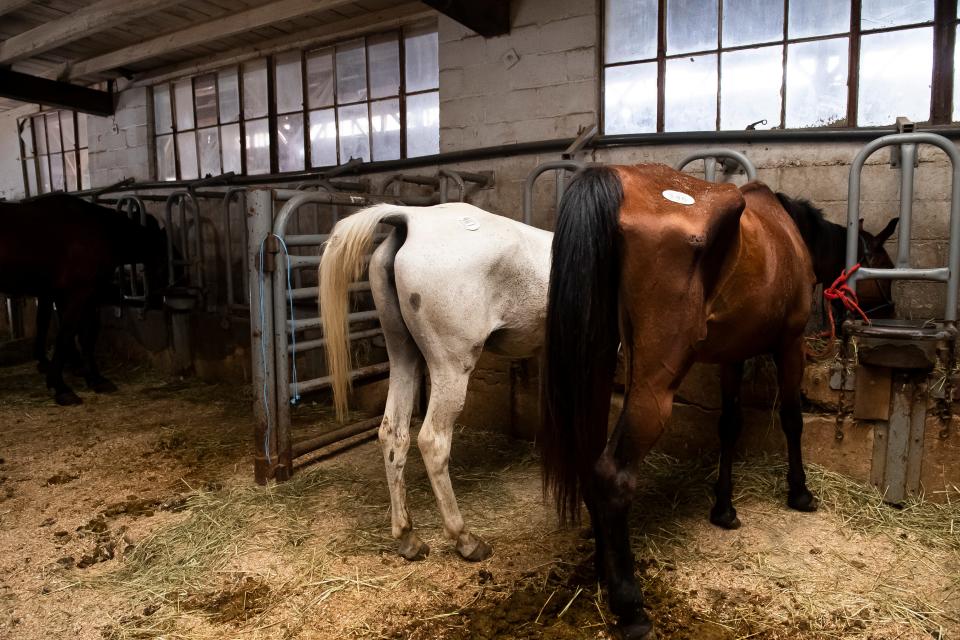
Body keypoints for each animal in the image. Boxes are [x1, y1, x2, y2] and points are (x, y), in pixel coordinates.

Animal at [0, 195, 167, 404]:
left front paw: (94, 379)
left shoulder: (74, 296)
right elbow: (67, 335)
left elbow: (83, 336)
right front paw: (61, 387)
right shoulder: (78, 294)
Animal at [320, 204, 552, 560]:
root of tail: (409, 218)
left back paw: (408, 538)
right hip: (450, 368)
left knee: (393, 433)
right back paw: (465, 540)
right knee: (432, 440)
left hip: (402, 355)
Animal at [544, 164, 820, 636]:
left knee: (589, 461)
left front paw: (724, 508)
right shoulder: (790, 344)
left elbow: (729, 425)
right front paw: (799, 493)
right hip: (655, 383)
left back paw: (604, 571)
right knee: (612, 475)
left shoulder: (732, 356)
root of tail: (611, 178)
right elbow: (791, 419)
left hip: (597, 363)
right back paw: (630, 606)